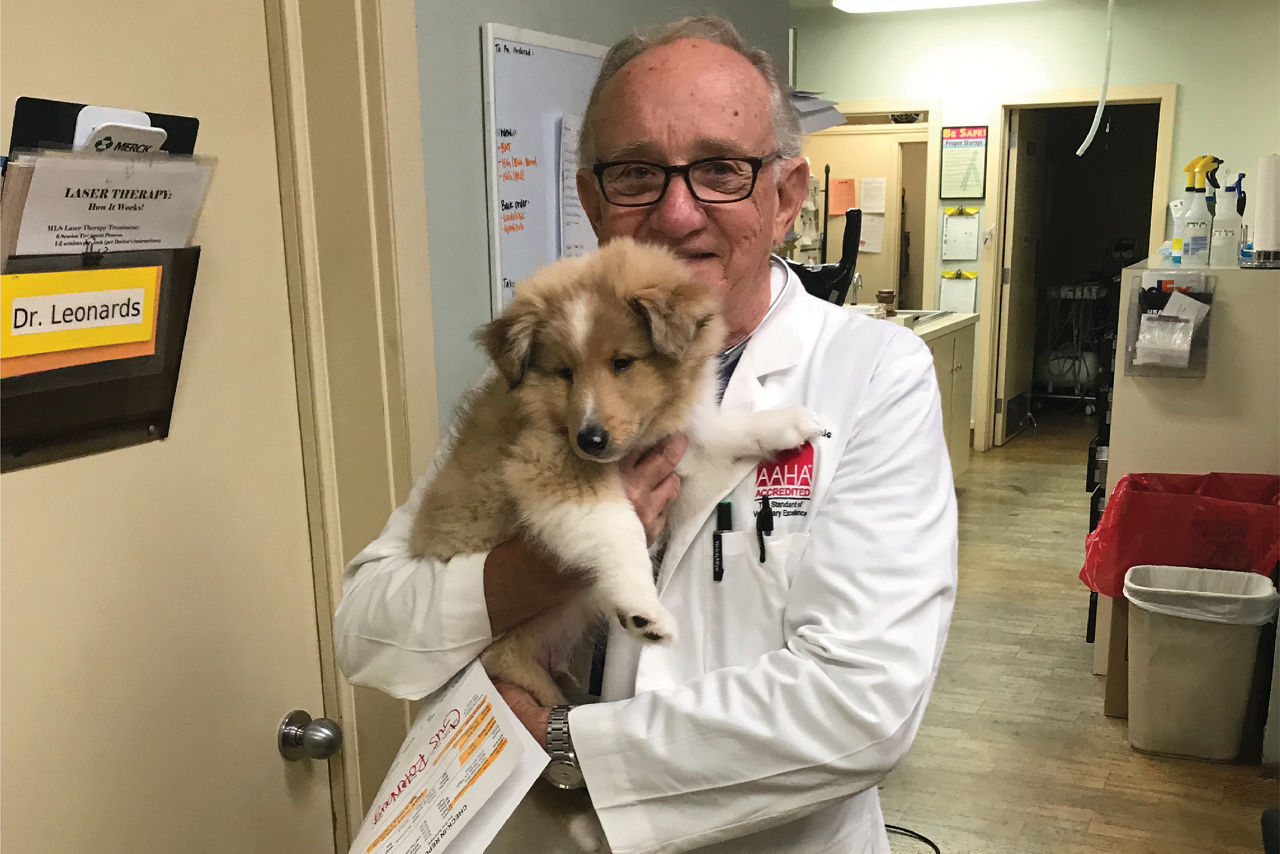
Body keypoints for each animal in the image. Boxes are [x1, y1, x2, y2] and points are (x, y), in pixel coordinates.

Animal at [409, 236, 819, 706]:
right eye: (564, 372)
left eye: (623, 362)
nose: (591, 439)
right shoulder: (548, 469)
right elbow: (620, 528)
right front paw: (644, 611)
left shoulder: (678, 470)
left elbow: (717, 432)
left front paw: (780, 425)